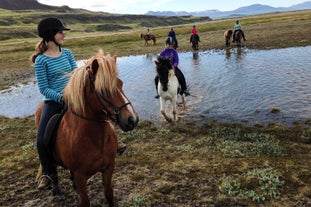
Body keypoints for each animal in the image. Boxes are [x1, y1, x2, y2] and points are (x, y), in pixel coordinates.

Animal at [34, 50, 140, 207]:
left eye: (121, 84)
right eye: (103, 90)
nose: (132, 119)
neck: (94, 139)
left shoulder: (108, 168)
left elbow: (109, 194)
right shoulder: (80, 176)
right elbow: (84, 201)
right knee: (53, 172)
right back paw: (55, 189)